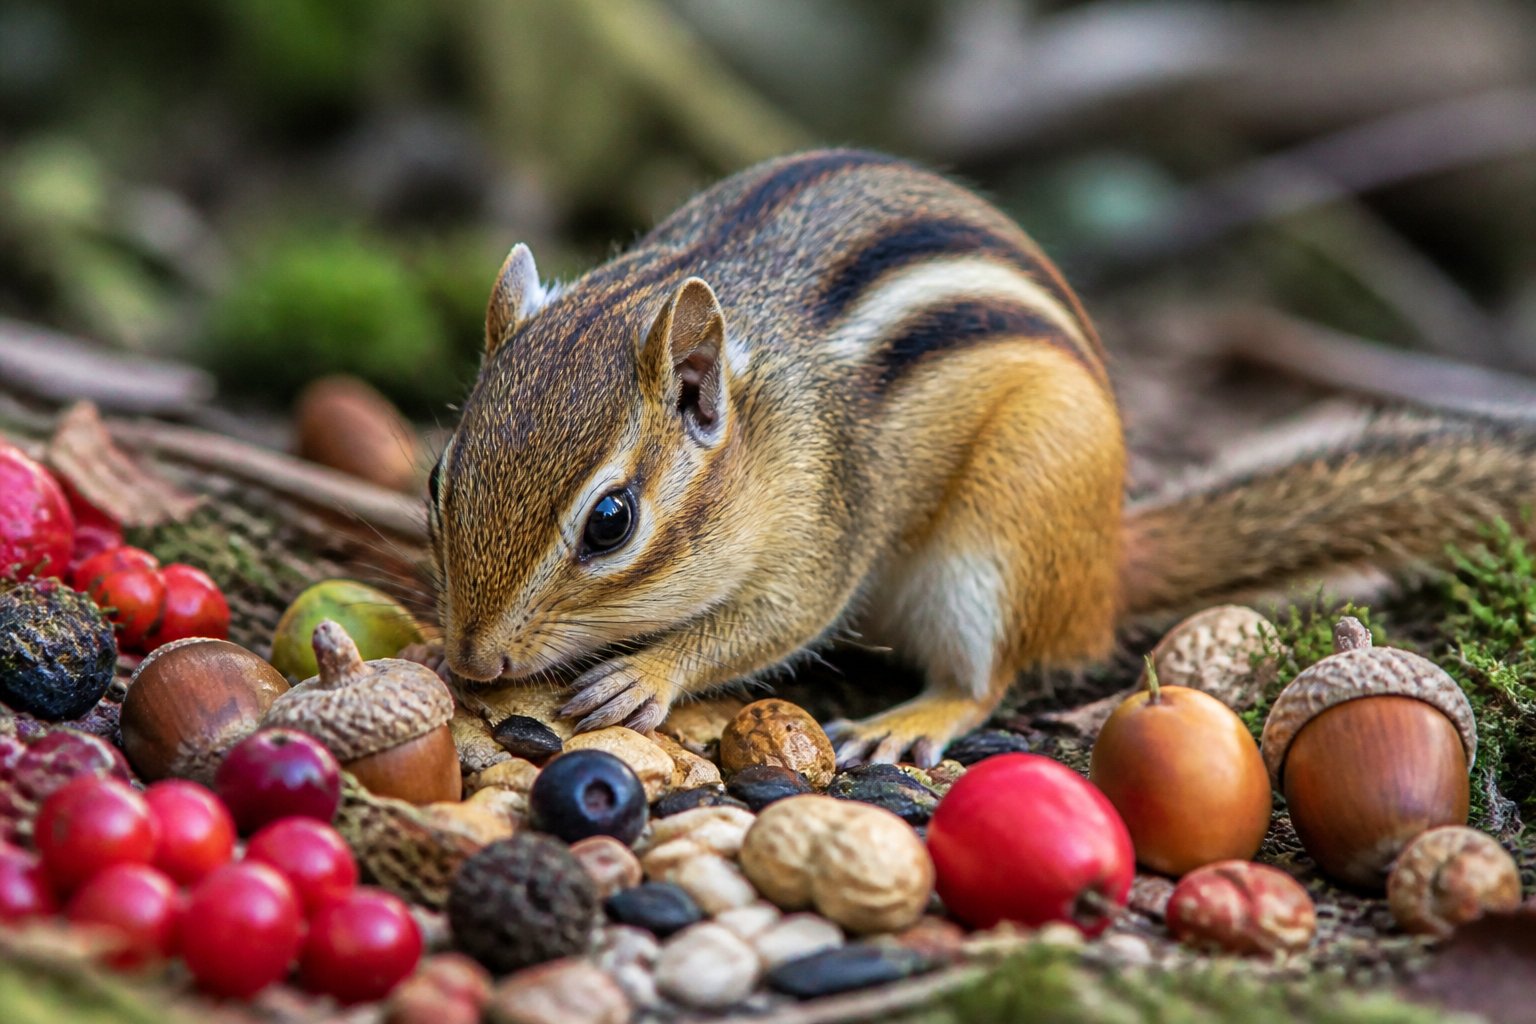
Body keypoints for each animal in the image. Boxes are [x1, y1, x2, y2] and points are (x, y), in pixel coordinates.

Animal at [428, 148, 1536, 768]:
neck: (760, 409)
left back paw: (914, 717)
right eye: (439, 479)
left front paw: (644, 674)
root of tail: (1100, 564)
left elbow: (778, 617)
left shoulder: (825, 513)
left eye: (610, 522)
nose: (472, 659)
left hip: (1000, 537)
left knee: (987, 674)